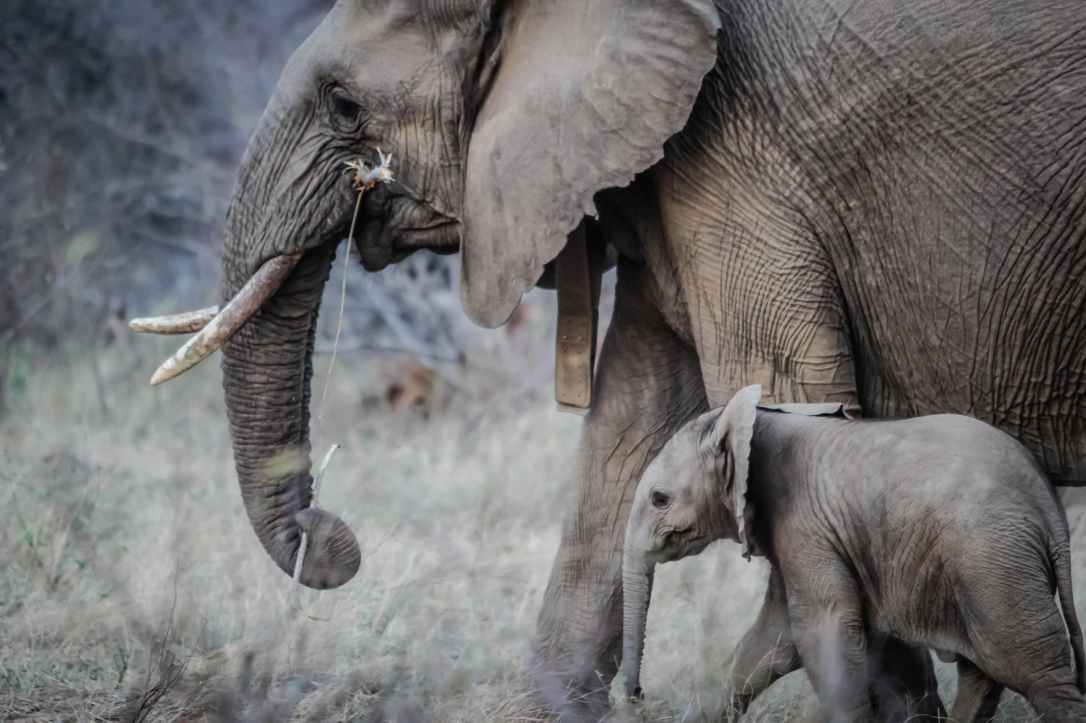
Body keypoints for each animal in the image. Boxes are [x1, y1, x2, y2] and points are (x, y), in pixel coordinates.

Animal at [621, 385, 1086, 722]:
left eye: (660, 499)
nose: (637, 695)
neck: (755, 420)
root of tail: (1047, 504)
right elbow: (772, 641)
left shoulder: (805, 524)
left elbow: (823, 633)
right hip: (987, 565)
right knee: (984, 672)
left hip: (991, 560)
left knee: (1034, 673)